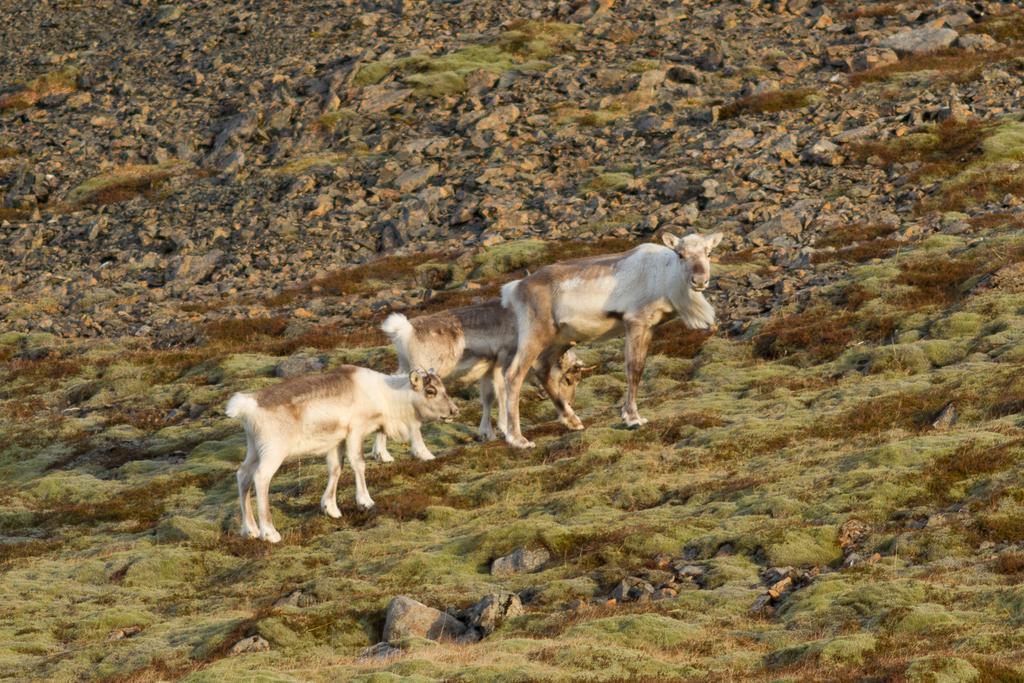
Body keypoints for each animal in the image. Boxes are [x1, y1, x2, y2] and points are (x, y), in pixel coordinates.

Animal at [232, 366, 460, 540]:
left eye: (443, 388)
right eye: (430, 390)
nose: (454, 411)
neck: (386, 398)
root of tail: (247, 408)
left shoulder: (337, 441)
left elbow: (336, 468)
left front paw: (331, 508)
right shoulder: (356, 431)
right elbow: (358, 463)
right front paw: (365, 501)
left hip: (254, 449)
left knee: (242, 475)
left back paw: (249, 530)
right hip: (273, 451)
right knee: (261, 478)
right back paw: (269, 533)